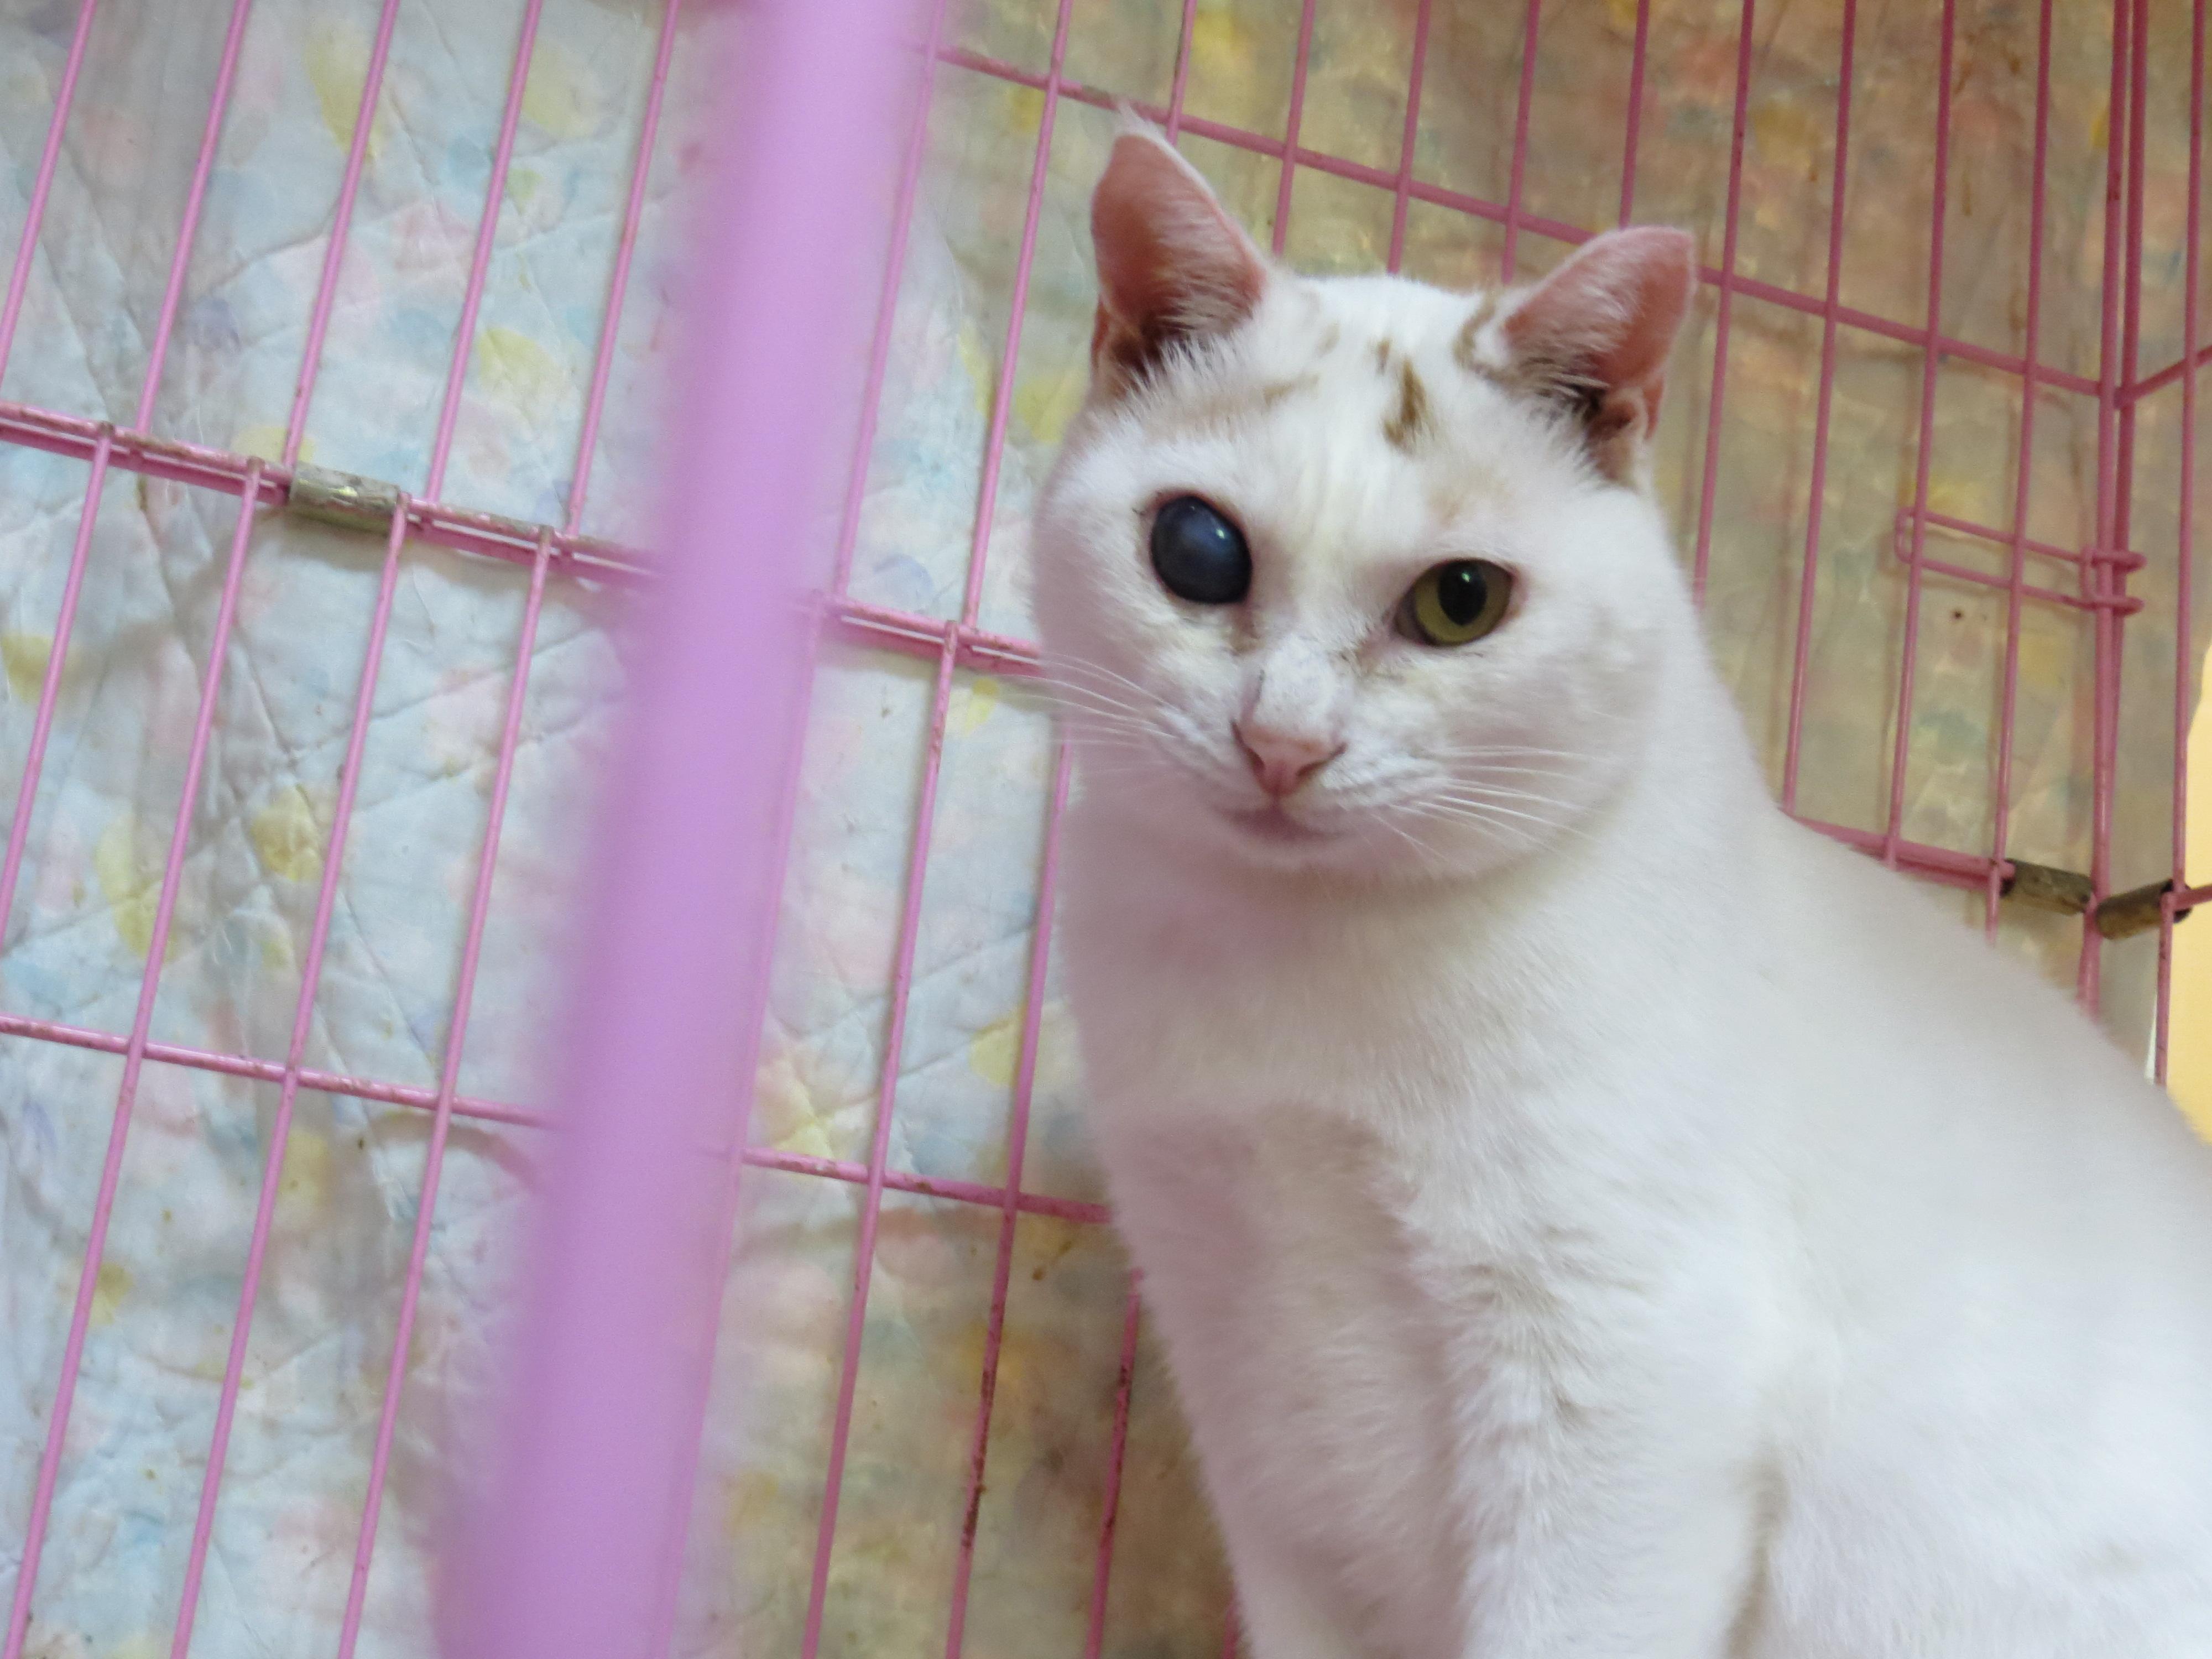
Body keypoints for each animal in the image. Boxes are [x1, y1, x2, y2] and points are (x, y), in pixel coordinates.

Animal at [1028, 118, 2212, 1659]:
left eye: (1459, 601)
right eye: (1196, 551)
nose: (1283, 743)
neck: (1303, 975)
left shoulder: (1618, 1371)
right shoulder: (1245, 1378)